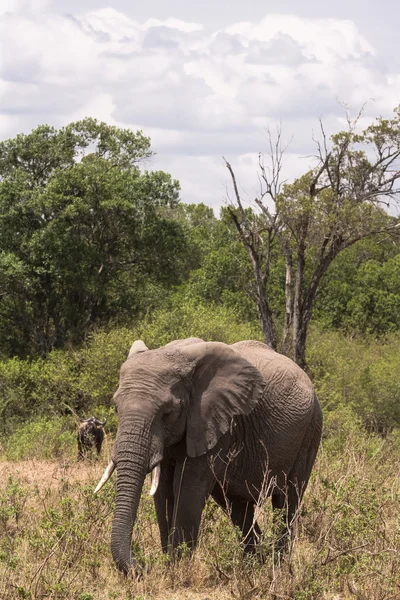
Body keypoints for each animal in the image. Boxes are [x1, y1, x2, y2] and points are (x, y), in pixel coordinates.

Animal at [95, 340, 324, 576]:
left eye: (167, 413)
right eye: (116, 408)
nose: (141, 565)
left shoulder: (216, 424)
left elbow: (188, 488)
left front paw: (177, 569)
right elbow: (163, 491)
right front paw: (169, 566)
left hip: (310, 429)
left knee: (287, 500)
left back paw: (278, 568)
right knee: (238, 508)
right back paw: (255, 565)